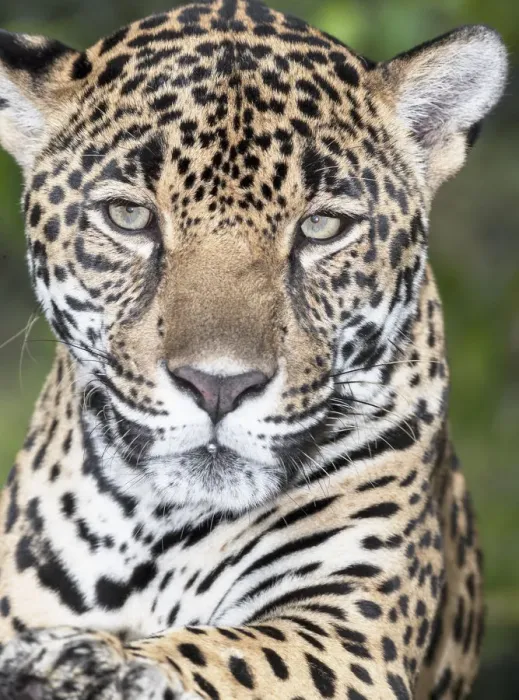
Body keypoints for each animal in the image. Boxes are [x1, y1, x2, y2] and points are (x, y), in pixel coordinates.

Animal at [0, 1, 508, 698]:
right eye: (129, 217)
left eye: (323, 226)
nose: (218, 385)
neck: (159, 525)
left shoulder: (352, 630)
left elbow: (232, 648)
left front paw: (93, 661)